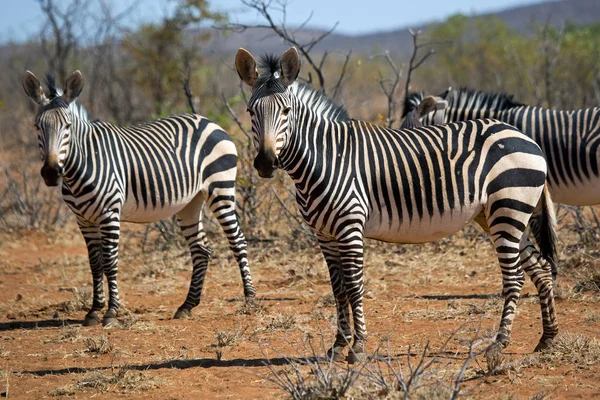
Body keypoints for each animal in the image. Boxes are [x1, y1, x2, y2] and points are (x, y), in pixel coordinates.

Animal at [21, 70, 254, 326]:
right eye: (37, 126)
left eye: (67, 126)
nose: (51, 172)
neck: (82, 164)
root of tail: (209, 121)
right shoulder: (84, 219)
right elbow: (95, 263)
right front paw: (94, 310)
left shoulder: (109, 213)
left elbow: (110, 261)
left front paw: (111, 312)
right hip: (190, 203)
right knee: (201, 249)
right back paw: (187, 305)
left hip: (220, 188)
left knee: (238, 241)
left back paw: (249, 299)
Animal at [234, 47, 556, 362]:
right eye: (250, 111)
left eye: (286, 111)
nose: (265, 163)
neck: (325, 158)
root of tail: (525, 137)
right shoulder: (324, 234)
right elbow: (337, 289)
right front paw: (338, 345)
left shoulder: (350, 228)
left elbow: (354, 286)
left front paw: (358, 347)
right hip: (496, 215)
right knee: (540, 268)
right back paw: (547, 339)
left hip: (508, 208)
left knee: (515, 278)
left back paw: (499, 345)